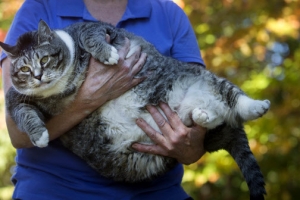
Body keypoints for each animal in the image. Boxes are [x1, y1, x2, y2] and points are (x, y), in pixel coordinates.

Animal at [0, 19, 270, 198]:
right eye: (24, 69)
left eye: (44, 59)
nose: (38, 76)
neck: (65, 83)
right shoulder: (15, 99)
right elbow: (23, 115)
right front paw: (40, 136)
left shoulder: (99, 29)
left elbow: (90, 34)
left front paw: (107, 54)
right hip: (204, 124)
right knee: (211, 119)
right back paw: (201, 115)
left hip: (204, 79)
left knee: (233, 98)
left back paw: (257, 107)